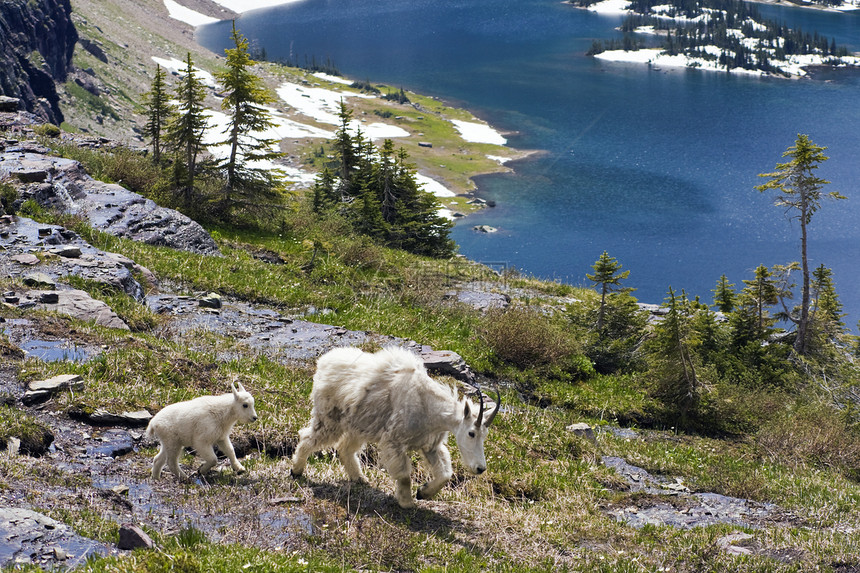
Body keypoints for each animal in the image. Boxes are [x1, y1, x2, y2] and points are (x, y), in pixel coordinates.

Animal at [292, 346, 500, 508]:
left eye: (484, 435)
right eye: (471, 433)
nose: (480, 468)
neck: (429, 406)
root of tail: (323, 363)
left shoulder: (431, 446)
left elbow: (445, 474)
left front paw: (423, 492)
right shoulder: (394, 440)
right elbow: (404, 474)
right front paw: (407, 502)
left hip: (359, 425)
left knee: (345, 449)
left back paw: (359, 478)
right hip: (330, 419)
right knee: (308, 438)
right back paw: (296, 471)